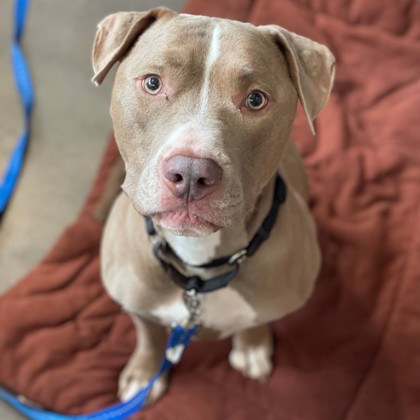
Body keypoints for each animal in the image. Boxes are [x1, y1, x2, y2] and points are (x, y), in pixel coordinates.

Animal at [92, 7, 334, 404]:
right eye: (153, 83)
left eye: (255, 99)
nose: (191, 172)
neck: (197, 262)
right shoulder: (137, 303)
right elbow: (148, 334)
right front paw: (144, 374)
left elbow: (258, 320)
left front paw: (252, 347)